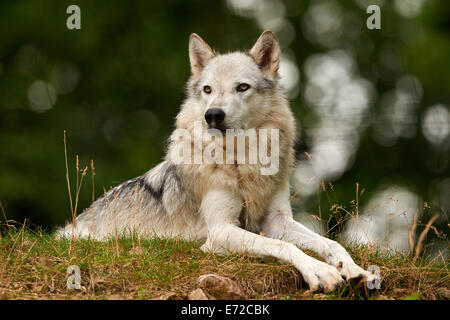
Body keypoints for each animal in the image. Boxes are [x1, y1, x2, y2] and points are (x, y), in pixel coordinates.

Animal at [58, 30, 370, 292]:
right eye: (208, 89)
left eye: (242, 87)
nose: (213, 115)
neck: (242, 162)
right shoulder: (221, 231)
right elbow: (284, 248)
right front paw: (320, 271)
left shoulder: (276, 220)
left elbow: (330, 242)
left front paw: (352, 268)